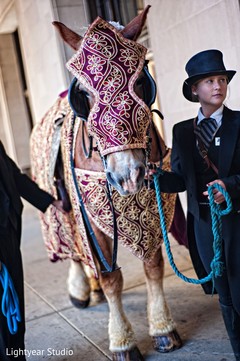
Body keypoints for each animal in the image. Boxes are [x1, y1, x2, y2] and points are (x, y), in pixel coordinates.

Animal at [30, 5, 185, 360]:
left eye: (141, 81)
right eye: (84, 94)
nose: (127, 175)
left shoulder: (151, 206)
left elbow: (153, 264)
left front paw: (162, 328)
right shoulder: (93, 215)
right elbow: (112, 277)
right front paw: (122, 341)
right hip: (60, 206)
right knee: (71, 244)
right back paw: (80, 288)